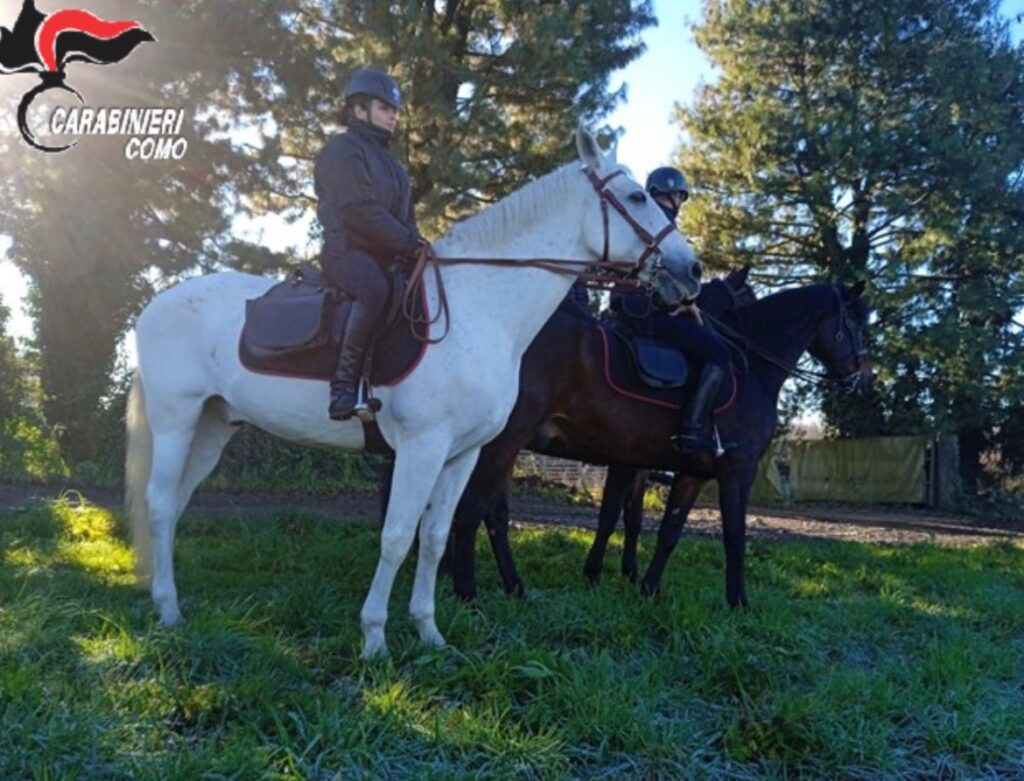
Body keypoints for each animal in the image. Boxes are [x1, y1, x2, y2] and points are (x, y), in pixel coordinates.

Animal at [124, 127, 703, 658]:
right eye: (636, 198)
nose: (692, 270)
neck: (480, 309)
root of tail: (154, 306)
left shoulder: (463, 454)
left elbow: (435, 537)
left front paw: (429, 633)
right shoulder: (422, 448)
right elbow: (398, 535)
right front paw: (375, 639)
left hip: (212, 427)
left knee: (177, 503)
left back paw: (168, 601)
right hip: (176, 421)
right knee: (160, 504)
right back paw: (169, 611)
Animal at [445, 281, 871, 607]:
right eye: (855, 323)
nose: (864, 380)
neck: (751, 369)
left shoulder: (691, 473)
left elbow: (668, 532)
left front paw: (648, 588)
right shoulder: (738, 470)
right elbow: (734, 536)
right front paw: (738, 603)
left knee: (490, 514)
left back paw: (512, 588)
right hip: (502, 443)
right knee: (470, 511)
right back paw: (468, 595)